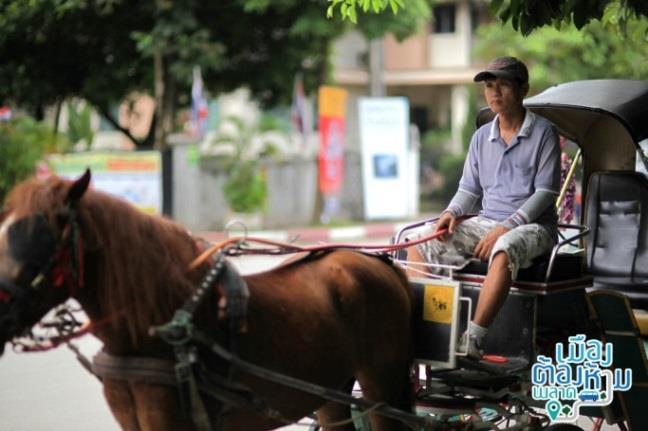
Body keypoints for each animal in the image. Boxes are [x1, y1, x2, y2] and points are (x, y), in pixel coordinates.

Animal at [0, 170, 416, 430]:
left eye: (39, 237)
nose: (1, 307)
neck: (158, 326)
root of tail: (380, 262)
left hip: (382, 388)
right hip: (330, 391)